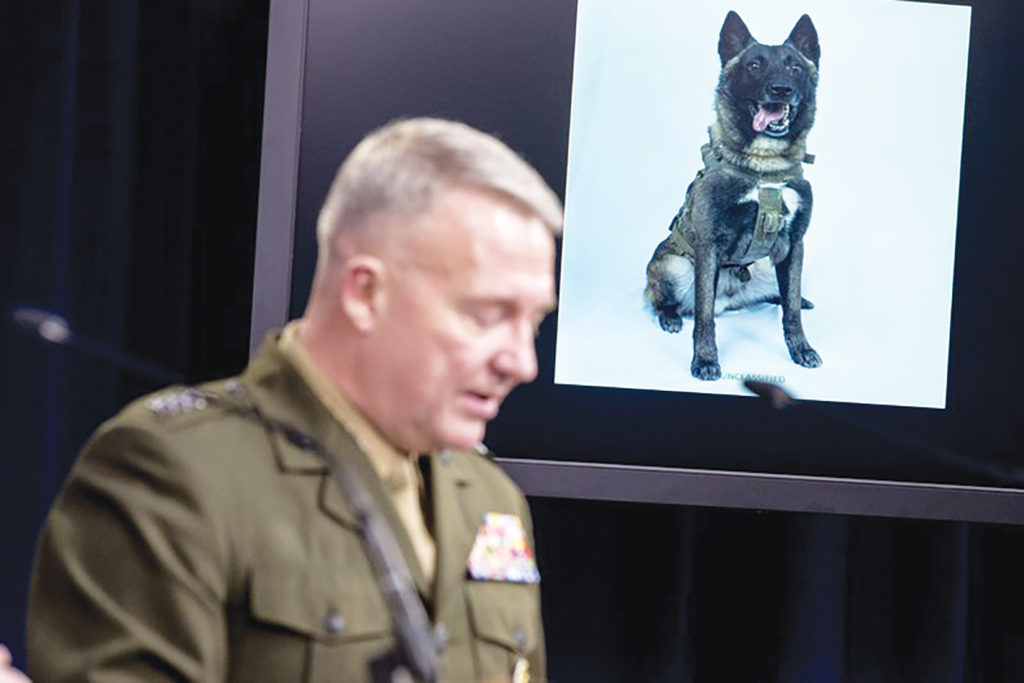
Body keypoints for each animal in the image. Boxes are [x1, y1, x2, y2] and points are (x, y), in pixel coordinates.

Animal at [645, 11, 821, 380]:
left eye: (795, 67)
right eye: (754, 66)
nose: (780, 89)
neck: (764, 166)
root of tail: (730, 300)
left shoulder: (794, 244)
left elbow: (792, 310)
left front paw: (801, 349)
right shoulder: (709, 245)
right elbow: (703, 316)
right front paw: (705, 360)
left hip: (769, 266)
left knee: (782, 295)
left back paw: (794, 298)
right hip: (673, 266)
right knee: (665, 300)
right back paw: (670, 317)